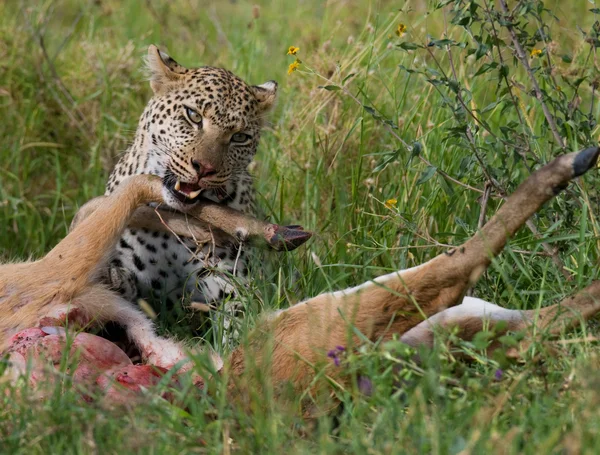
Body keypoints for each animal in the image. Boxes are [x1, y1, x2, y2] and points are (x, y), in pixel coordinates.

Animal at [104, 44, 278, 334]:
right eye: (193, 116)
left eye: (239, 137)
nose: (204, 168)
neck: (173, 224)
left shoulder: (231, 284)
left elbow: (239, 321)